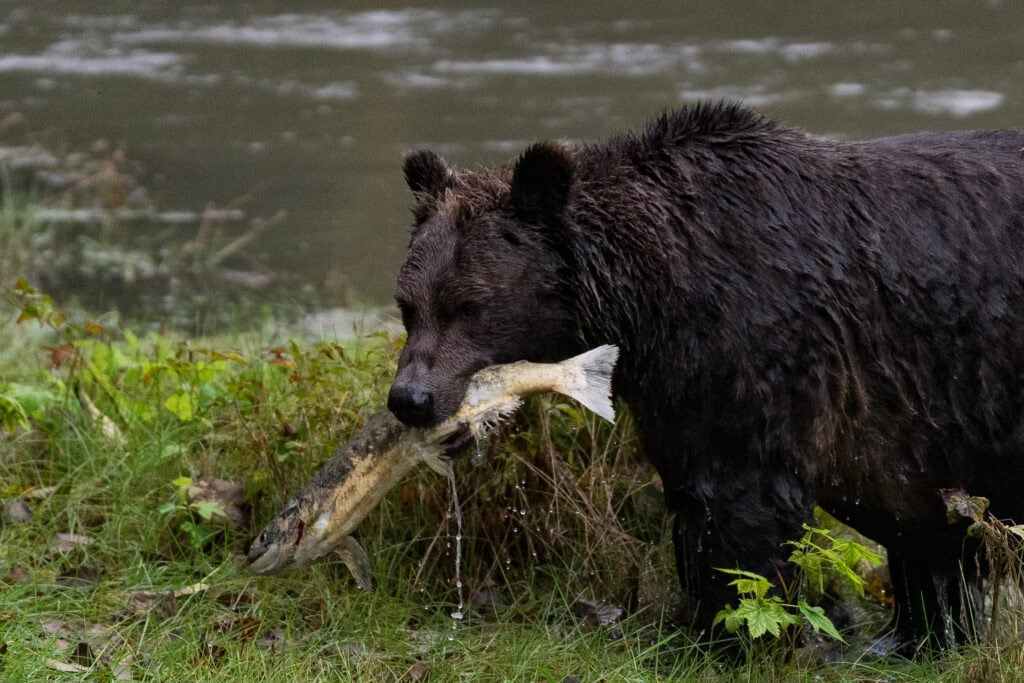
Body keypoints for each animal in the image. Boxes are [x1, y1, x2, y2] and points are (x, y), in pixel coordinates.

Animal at [386, 101, 1024, 652]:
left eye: (469, 306)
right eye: (409, 305)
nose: (411, 398)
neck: (648, 300)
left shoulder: (766, 352)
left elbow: (747, 518)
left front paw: (739, 641)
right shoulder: (683, 390)